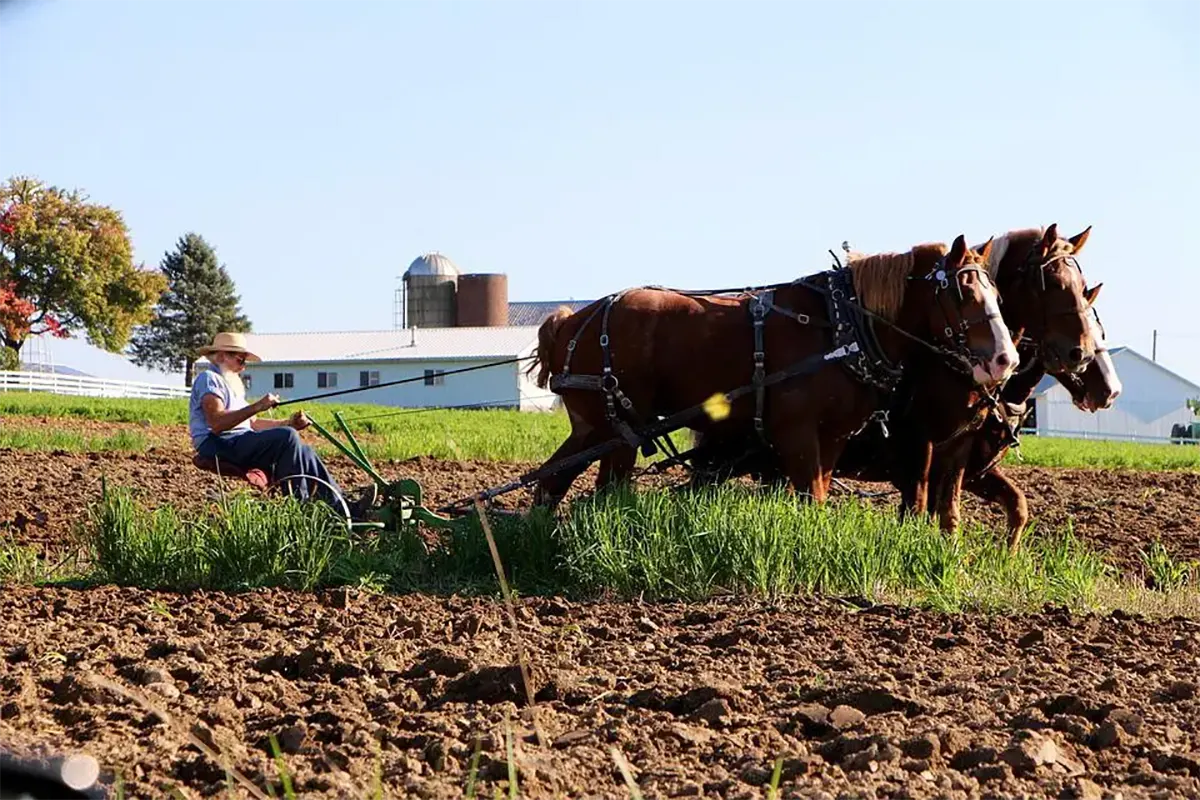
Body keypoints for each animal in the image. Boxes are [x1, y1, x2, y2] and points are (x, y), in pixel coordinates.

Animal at [530, 232, 1017, 506]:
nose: (1005, 360)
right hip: (617, 429)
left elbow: (818, 494)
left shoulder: (832, 437)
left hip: (593, 428)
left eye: (996, 292)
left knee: (552, 479)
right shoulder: (795, 433)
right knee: (598, 488)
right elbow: (809, 498)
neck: (840, 324)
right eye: (962, 293)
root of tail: (569, 322)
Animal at [691, 221, 1099, 542]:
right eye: (1054, 283)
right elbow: (920, 507)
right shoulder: (917, 443)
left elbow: (971, 510)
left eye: (1083, 286)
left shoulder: (960, 451)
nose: (1081, 353)